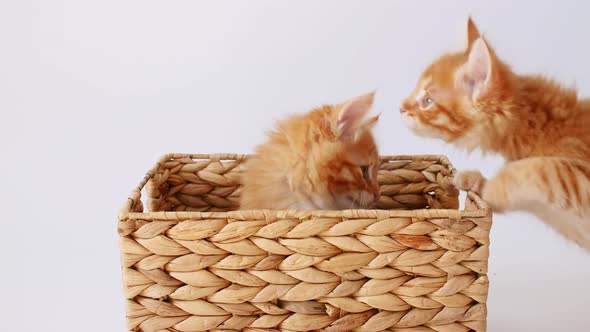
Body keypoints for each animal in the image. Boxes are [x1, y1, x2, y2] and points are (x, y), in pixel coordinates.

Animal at [402, 18, 590, 250]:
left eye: (427, 101)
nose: (400, 108)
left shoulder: (582, 170)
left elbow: (542, 168)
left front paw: (492, 187)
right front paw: (476, 182)